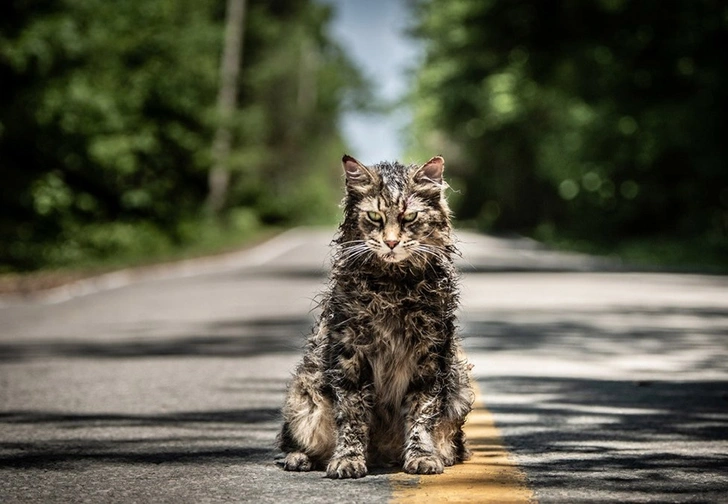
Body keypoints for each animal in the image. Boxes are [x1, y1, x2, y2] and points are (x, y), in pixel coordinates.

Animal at [278, 156, 472, 478]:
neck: (393, 288)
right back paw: (300, 458)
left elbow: (421, 413)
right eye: (374, 216)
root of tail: (382, 455)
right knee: (294, 441)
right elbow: (352, 415)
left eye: (409, 218)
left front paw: (422, 456)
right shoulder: (350, 355)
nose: (391, 243)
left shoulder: (430, 356)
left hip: (460, 388)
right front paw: (348, 459)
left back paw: (438, 455)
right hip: (304, 393)